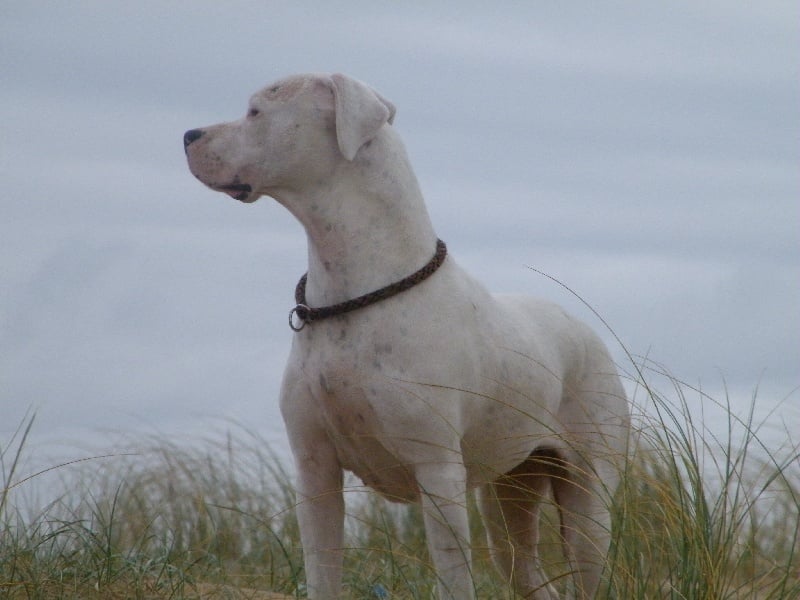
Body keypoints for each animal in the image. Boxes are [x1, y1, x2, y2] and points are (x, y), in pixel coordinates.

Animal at [184, 72, 628, 596]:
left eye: (256, 112)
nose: (188, 135)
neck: (358, 289)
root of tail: (584, 328)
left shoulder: (438, 474)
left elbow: (454, 580)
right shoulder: (315, 470)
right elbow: (322, 571)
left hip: (587, 501)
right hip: (509, 502)